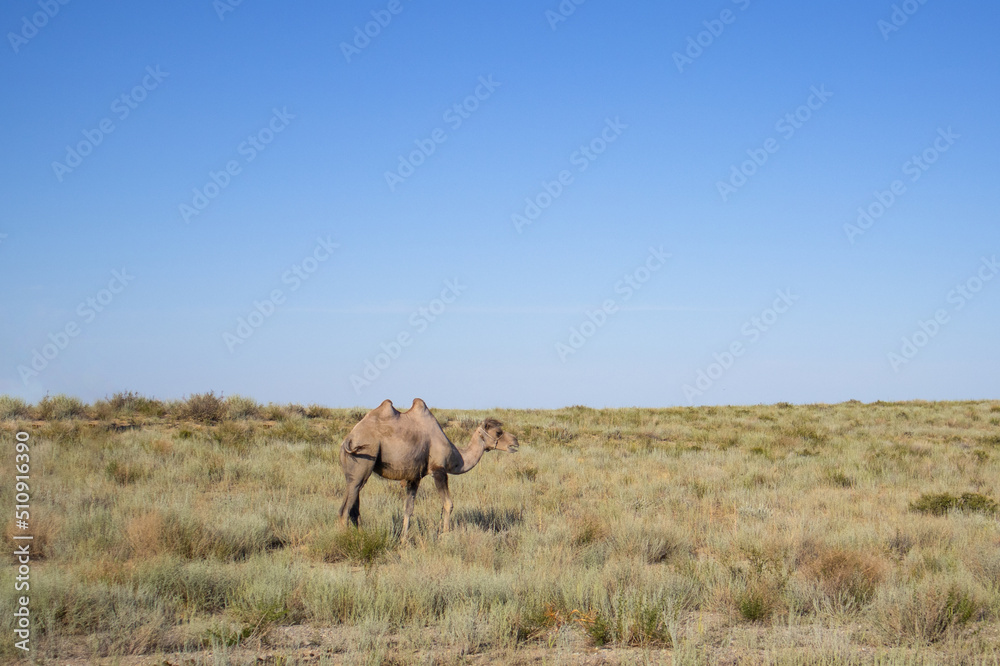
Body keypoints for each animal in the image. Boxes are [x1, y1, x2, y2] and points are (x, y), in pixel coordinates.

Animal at [340, 396, 520, 536]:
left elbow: (408, 508)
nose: (515, 441)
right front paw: (445, 536)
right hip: (363, 462)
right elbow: (448, 504)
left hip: (353, 472)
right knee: (345, 509)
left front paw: (403, 541)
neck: (456, 456)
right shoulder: (438, 470)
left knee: (354, 509)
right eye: (498, 432)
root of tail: (348, 439)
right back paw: (345, 540)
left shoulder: (414, 477)